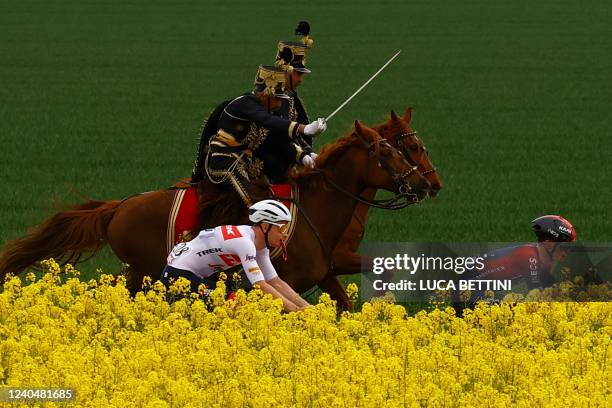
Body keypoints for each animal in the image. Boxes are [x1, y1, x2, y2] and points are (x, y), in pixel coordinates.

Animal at [0, 120, 430, 296]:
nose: (427, 184)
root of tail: (119, 207)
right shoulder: (293, 278)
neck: (314, 213)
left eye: (413, 147)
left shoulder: (325, 272)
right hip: (146, 271)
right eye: (390, 151)